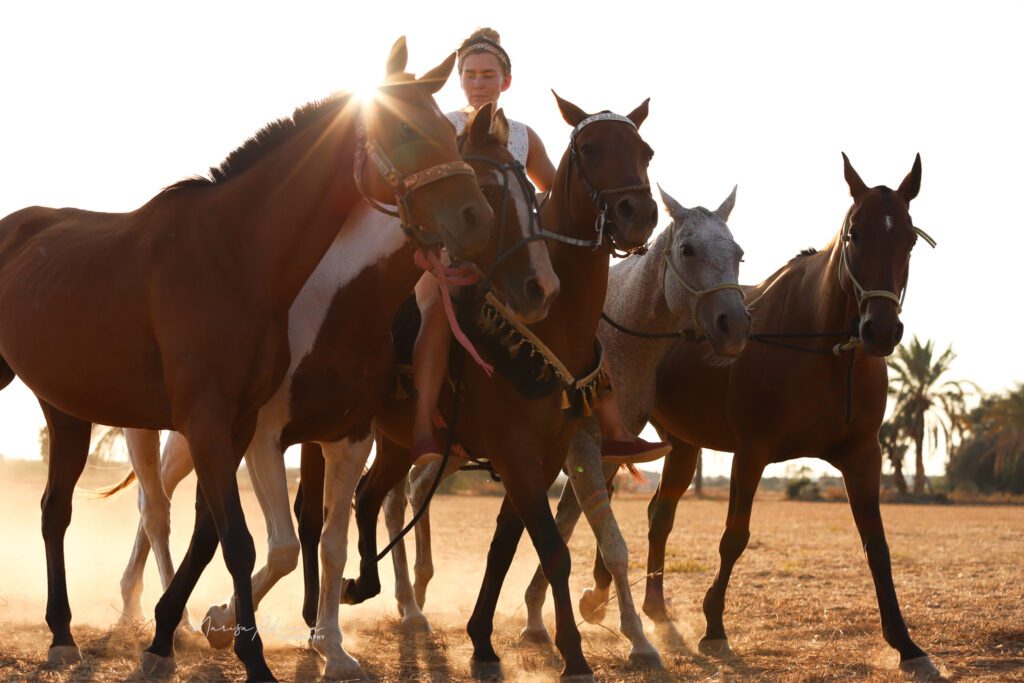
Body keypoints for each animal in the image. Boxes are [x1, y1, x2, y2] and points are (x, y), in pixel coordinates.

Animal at [0, 37, 495, 682]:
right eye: (408, 129)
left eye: (450, 134)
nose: (477, 221)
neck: (233, 257)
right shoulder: (218, 424)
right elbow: (240, 542)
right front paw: (243, 653)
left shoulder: (242, 428)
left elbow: (225, 538)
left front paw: (180, 632)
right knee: (131, 510)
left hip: (67, 411)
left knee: (56, 511)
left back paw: (62, 635)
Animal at [110, 104, 559, 679]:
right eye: (486, 188)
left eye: (531, 192)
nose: (540, 289)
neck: (340, 302)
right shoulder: (264, 437)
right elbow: (280, 544)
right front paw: (221, 619)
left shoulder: (348, 437)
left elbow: (328, 542)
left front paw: (330, 645)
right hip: (154, 432)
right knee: (156, 508)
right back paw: (164, 614)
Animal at [315, 92, 659, 681]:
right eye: (590, 149)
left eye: (645, 151)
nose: (638, 213)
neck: (551, 329)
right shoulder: (516, 455)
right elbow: (551, 549)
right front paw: (572, 655)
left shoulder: (544, 456)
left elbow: (505, 547)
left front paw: (481, 641)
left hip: (397, 442)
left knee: (368, 497)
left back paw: (364, 587)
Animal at [382, 185, 751, 669]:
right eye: (688, 249)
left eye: (739, 254)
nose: (734, 327)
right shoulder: (575, 449)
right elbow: (601, 541)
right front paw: (631, 637)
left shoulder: (598, 453)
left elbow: (574, 526)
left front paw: (544, 616)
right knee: (394, 497)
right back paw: (408, 603)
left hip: (452, 449)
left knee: (412, 488)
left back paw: (418, 592)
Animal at [599, 153, 940, 677]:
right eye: (855, 233)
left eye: (908, 238)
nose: (880, 330)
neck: (819, 348)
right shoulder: (752, 452)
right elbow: (734, 538)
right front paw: (715, 628)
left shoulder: (863, 455)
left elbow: (877, 547)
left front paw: (905, 644)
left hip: (682, 443)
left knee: (660, 514)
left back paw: (655, 611)